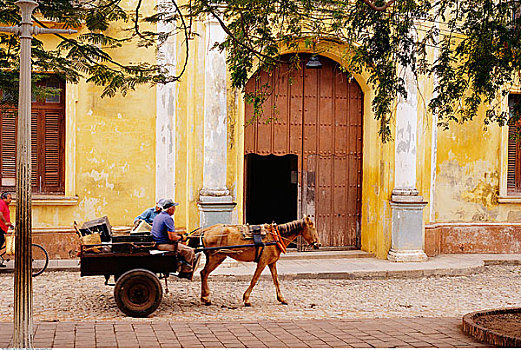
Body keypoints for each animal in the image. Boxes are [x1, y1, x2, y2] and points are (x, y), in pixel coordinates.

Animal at [187, 217, 316, 304]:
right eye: (312, 228)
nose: (317, 244)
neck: (275, 236)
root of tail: (205, 230)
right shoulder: (262, 262)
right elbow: (254, 279)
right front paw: (246, 298)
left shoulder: (271, 262)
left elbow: (276, 280)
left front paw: (281, 298)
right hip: (217, 257)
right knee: (204, 273)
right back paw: (206, 297)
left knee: (203, 273)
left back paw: (204, 297)